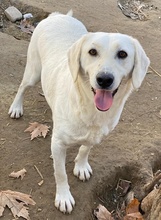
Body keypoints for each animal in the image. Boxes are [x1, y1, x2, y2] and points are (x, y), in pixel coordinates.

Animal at [8, 10, 150, 213]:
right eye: (92, 52)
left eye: (123, 54)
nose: (104, 79)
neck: (91, 109)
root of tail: (58, 15)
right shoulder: (58, 144)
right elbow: (60, 173)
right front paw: (64, 197)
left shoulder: (97, 135)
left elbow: (85, 148)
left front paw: (81, 166)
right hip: (33, 72)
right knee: (22, 87)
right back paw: (16, 107)